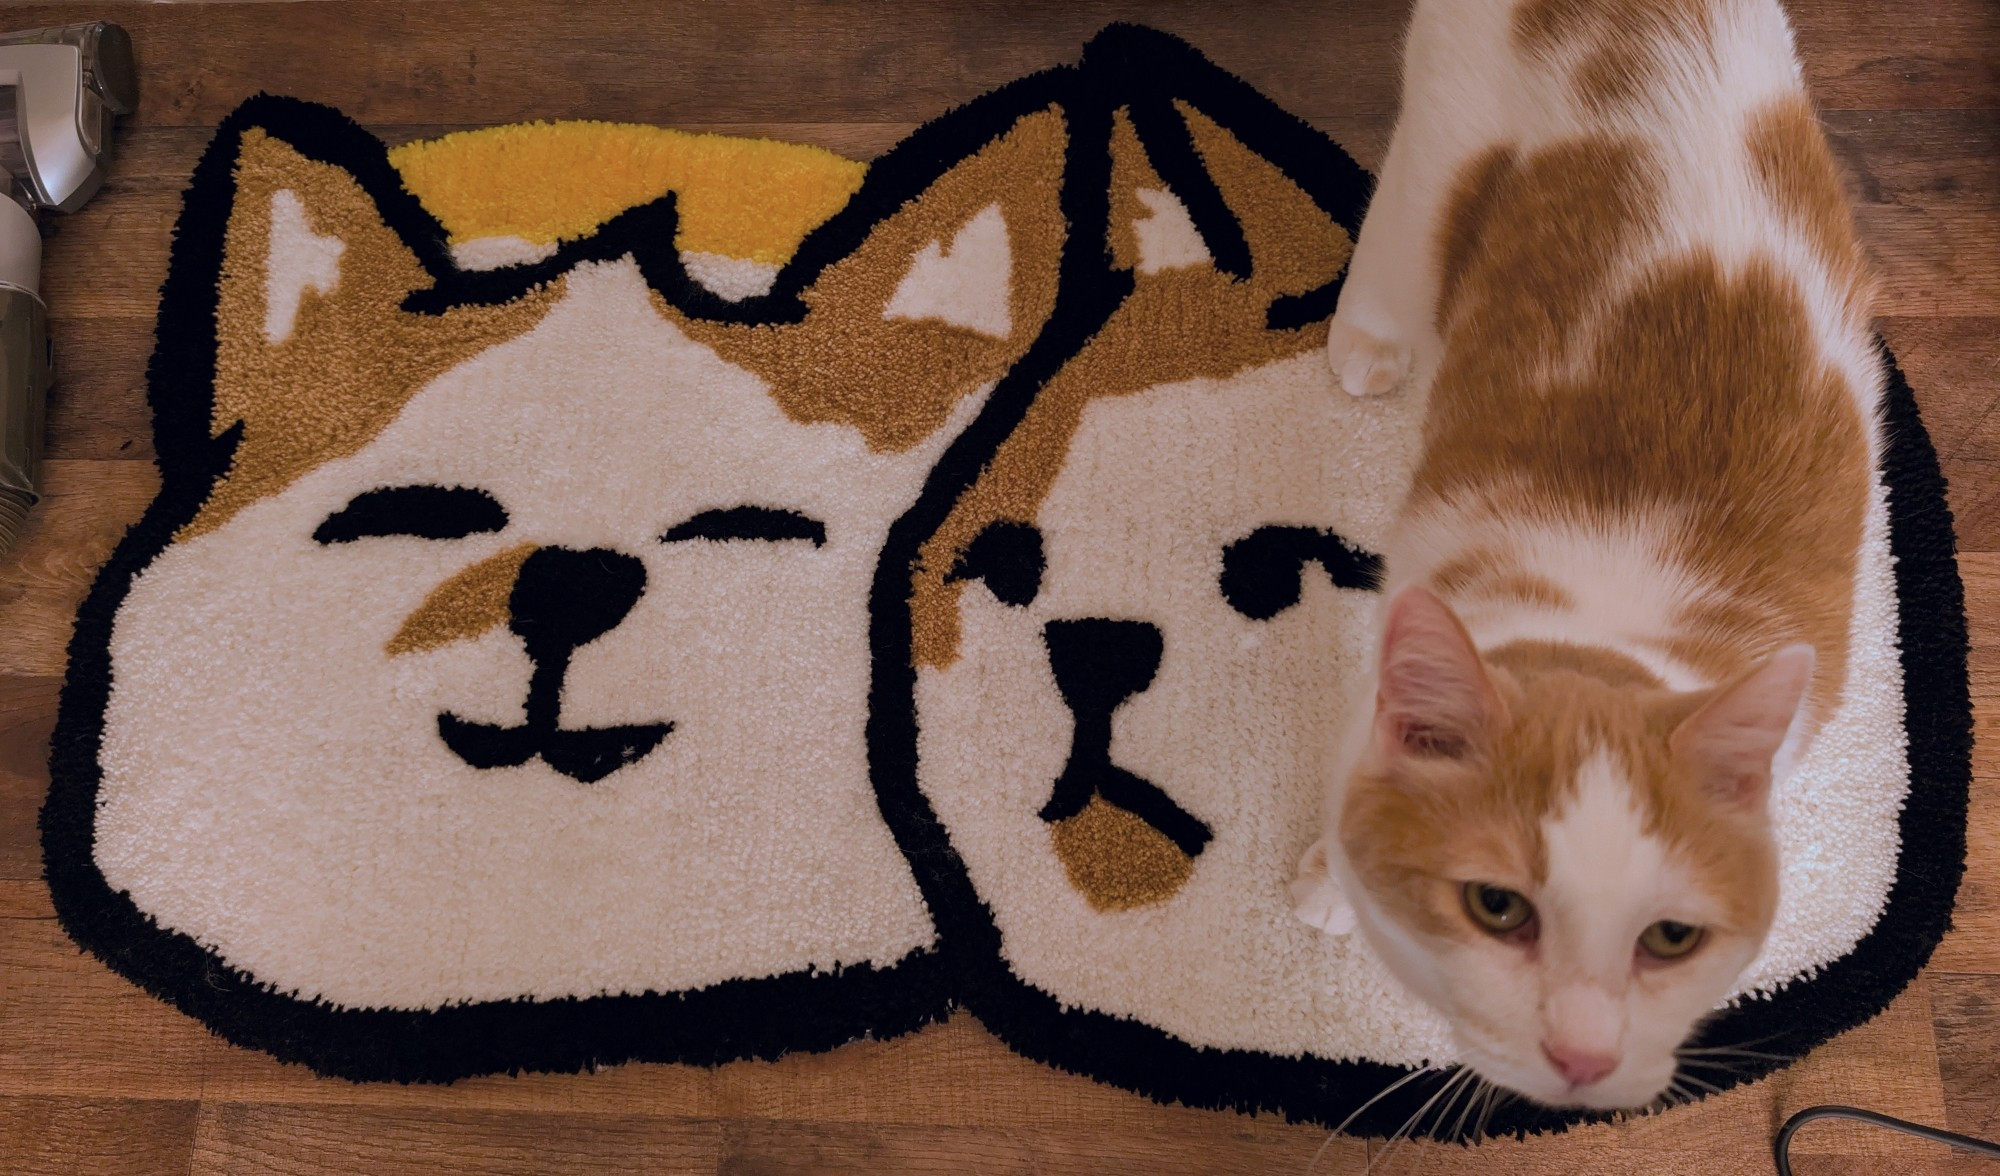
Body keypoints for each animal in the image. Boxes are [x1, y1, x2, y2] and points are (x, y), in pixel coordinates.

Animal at [1296, 0, 1872, 1104]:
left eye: (1669, 938)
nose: (1585, 1057)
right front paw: (1328, 881)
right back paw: (1369, 345)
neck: (1603, 627)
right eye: (1500, 909)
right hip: (1443, 137)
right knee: (1402, 227)